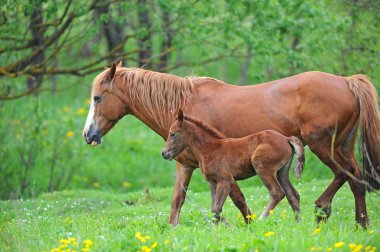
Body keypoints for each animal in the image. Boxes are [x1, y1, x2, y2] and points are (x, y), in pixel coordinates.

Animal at [162, 110, 304, 222]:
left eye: (172, 134)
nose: (164, 153)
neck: (209, 149)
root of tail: (286, 138)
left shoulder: (225, 180)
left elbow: (216, 209)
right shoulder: (213, 182)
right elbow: (214, 210)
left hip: (263, 168)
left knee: (277, 192)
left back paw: (261, 219)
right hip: (282, 173)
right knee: (293, 195)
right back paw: (298, 223)